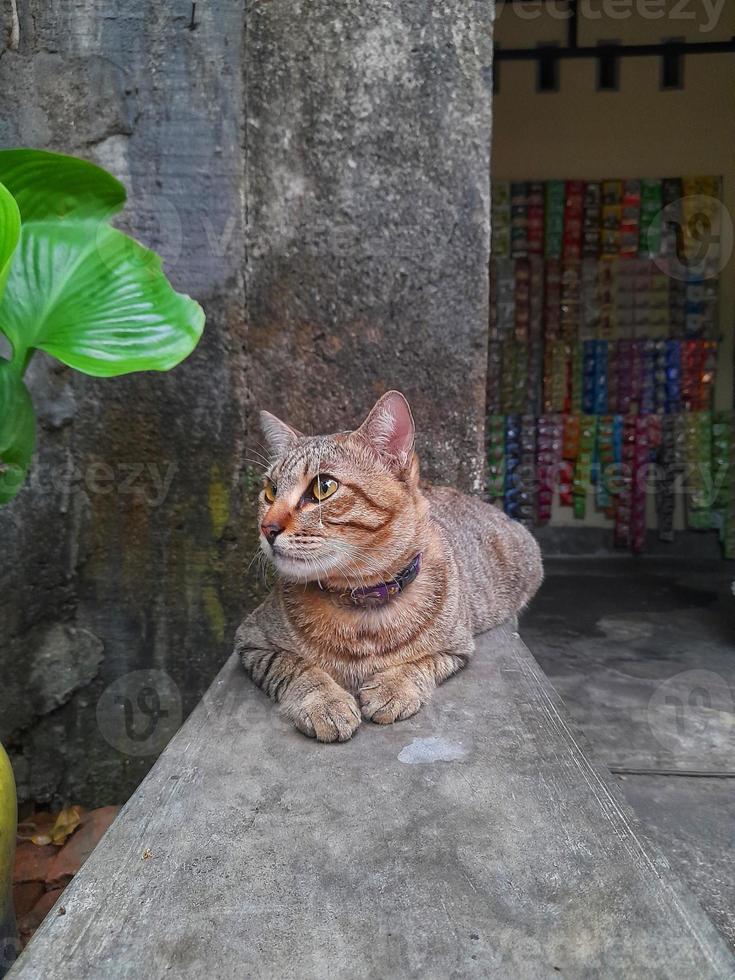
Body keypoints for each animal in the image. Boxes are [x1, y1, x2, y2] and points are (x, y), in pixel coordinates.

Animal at [236, 390, 540, 744]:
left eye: (323, 487)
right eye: (270, 491)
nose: (266, 528)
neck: (362, 602)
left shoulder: (457, 648)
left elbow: (420, 663)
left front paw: (394, 685)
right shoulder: (252, 641)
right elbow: (295, 668)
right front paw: (324, 701)